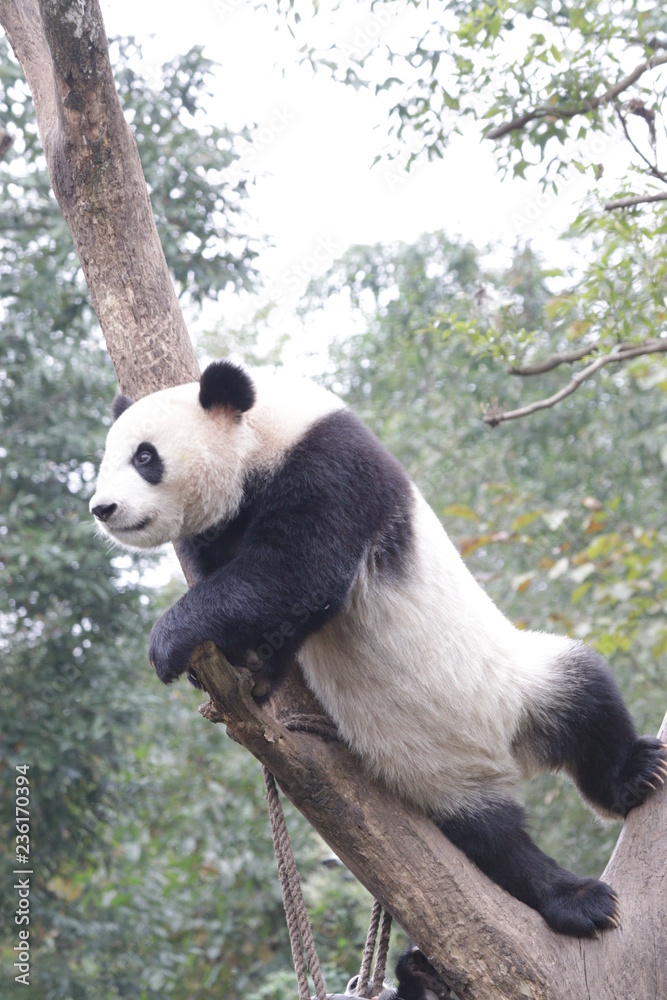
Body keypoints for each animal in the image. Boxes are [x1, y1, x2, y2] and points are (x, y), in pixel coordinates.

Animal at [90, 359, 666, 941]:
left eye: (145, 457)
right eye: (109, 457)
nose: (103, 508)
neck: (261, 438)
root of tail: (506, 758)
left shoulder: (331, 463)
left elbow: (295, 572)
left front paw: (170, 642)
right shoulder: (227, 523)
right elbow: (278, 603)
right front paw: (249, 667)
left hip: (520, 679)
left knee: (587, 694)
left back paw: (632, 784)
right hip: (441, 776)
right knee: (493, 845)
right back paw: (570, 894)